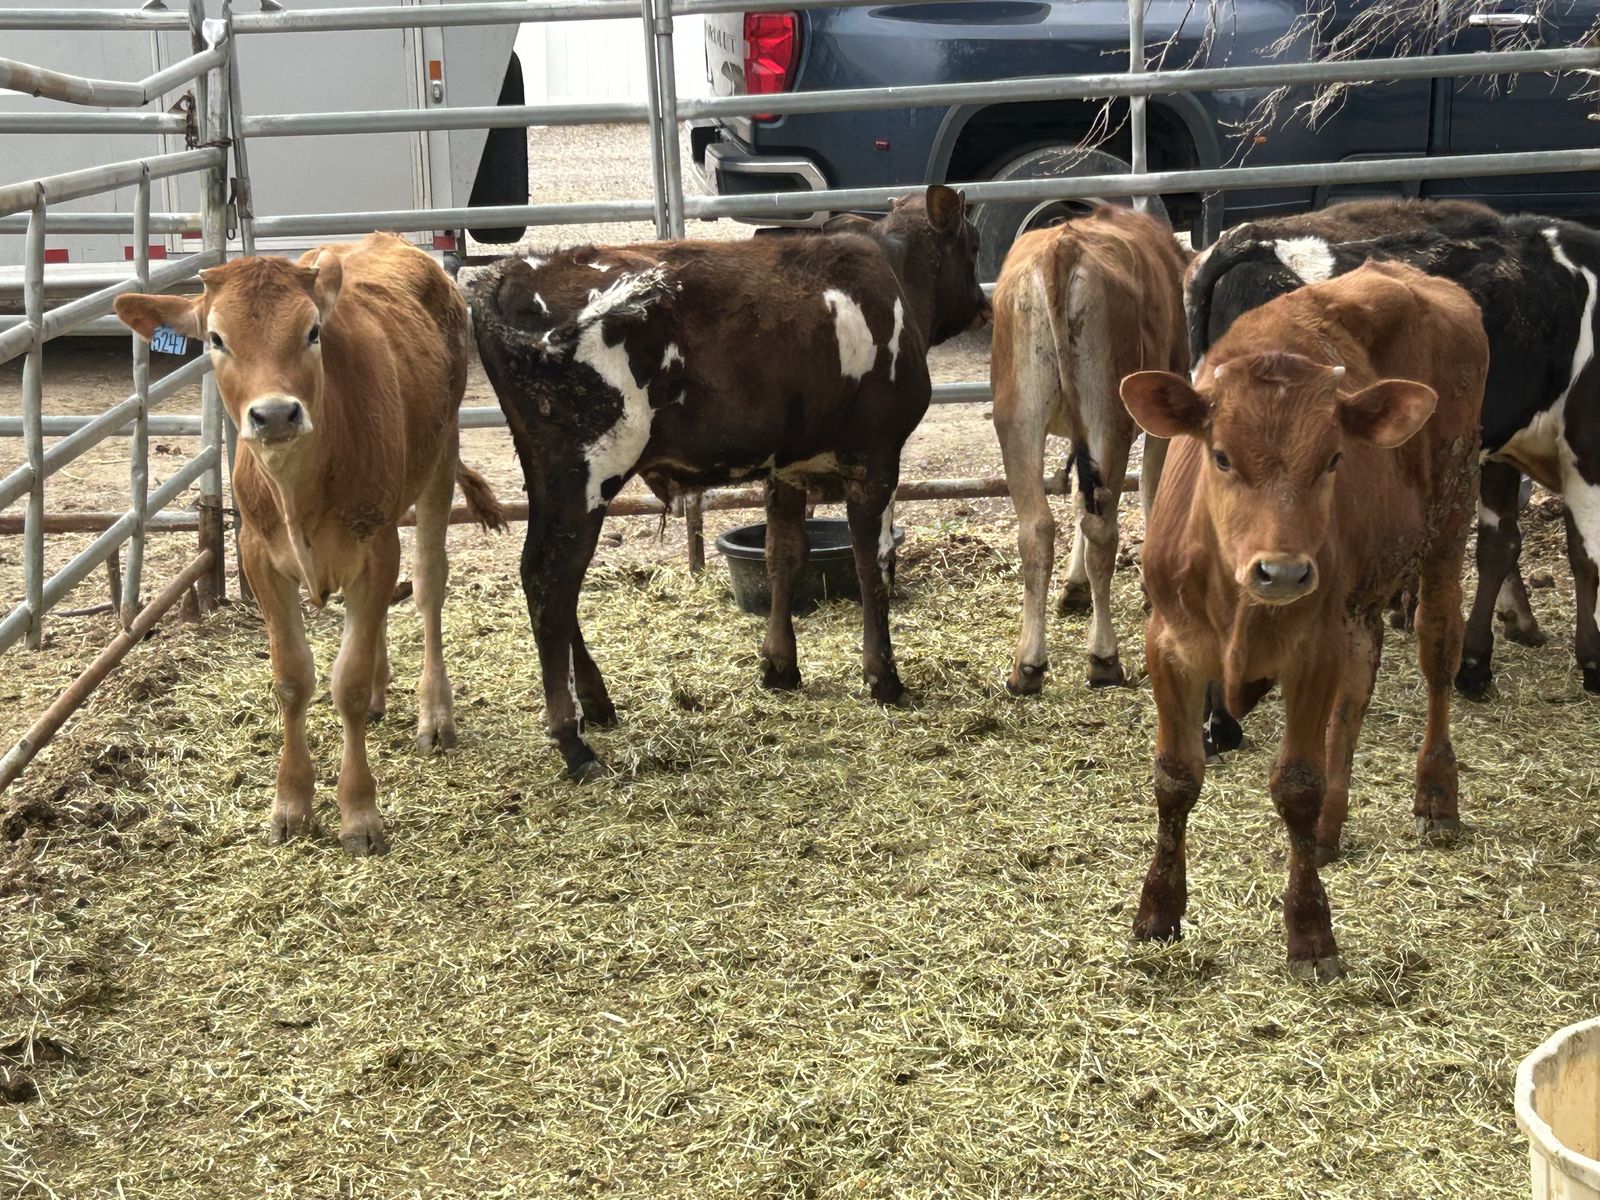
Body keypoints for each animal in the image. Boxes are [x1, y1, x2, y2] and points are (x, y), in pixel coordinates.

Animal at [115, 233, 504, 856]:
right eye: (216, 339)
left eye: (312, 331)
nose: (275, 414)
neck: (299, 484)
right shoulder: (258, 557)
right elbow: (294, 678)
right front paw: (291, 803)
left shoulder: (376, 545)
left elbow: (346, 681)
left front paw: (359, 812)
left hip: (441, 456)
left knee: (428, 585)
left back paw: (434, 712)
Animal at [465, 185, 989, 780]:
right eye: (973, 244)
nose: (983, 303)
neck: (893, 272)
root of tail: (512, 273)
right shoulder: (875, 459)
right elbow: (871, 566)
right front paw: (885, 679)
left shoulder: (787, 466)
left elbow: (785, 555)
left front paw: (780, 667)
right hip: (585, 473)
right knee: (552, 582)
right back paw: (574, 742)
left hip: (547, 476)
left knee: (547, 579)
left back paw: (595, 705)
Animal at [990, 206, 1188, 693]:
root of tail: (1063, 248)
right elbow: (1150, 491)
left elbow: (1081, 497)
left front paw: (1073, 585)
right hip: (1108, 416)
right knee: (1102, 529)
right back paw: (1103, 657)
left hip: (1017, 418)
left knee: (1038, 528)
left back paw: (1027, 665)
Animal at [1122, 261, 1487, 980]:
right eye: (1221, 456)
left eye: (1334, 460)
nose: (1285, 573)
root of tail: (1412, 273)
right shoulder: (1169, 644)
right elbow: (1175, 777)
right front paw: (1158, 910)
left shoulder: (1312, 649)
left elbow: (1296, 783)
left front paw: (1311, 932)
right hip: (1362, 590)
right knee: (1359, 683)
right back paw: (1329, 830)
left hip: (1450, 518)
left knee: (1438, 651)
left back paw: (1436, 793)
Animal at [1189, 199, 1600, 747]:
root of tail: (1249, 240)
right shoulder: (1586, 443)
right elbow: (1585, 554)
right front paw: (1592, 660)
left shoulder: (1494, 448)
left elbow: (1500, 546)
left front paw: (1476, 662)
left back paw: (1217, 723)